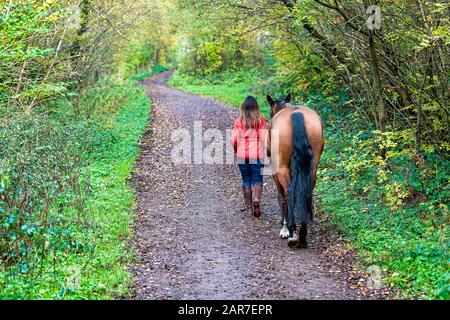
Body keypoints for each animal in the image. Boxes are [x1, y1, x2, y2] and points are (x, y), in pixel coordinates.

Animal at [264, 94, 324, 249]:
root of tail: (296, 113)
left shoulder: (276, 169)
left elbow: (281, 196)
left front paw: (284, 228)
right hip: (312, 169)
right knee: (306, 192)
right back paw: (302, 234)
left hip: (282, 168)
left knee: (288, 192)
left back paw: (292, 231)